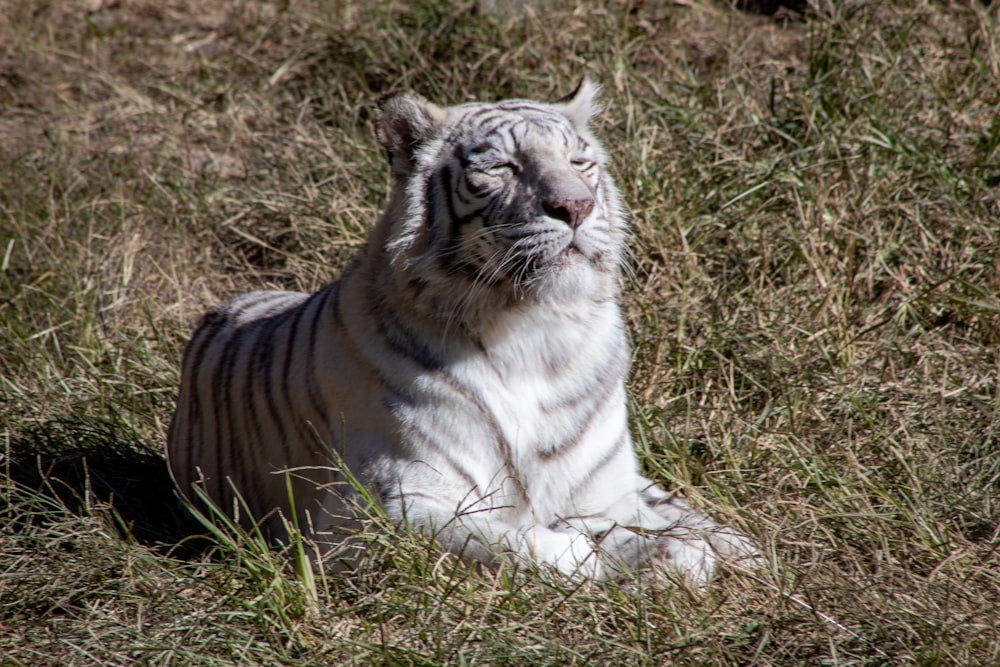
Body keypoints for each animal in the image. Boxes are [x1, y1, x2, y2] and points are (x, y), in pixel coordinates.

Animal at [166, 81, 756, 584]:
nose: (576, 206)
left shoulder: (604, 495)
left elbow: (664, 535)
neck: (535, 330)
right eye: (503, 166)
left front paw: (681, 555)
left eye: (579, 162)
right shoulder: (369, 512)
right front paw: (586, 555)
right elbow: (506, 540)